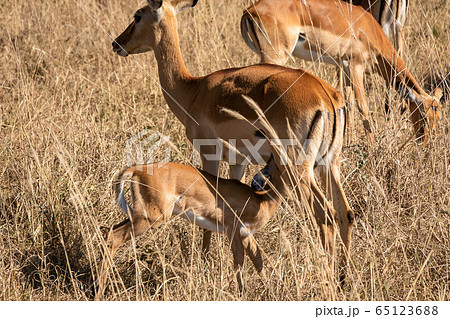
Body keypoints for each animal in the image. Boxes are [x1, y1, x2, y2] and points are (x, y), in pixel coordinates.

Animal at [241, 0, 442, 144]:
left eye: (438, 115)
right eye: (423, 115)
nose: (424, 143)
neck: (368, 30)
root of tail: (250, 10)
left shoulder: (343, 68)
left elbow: (347, 101)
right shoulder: (355, 66)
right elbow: (363, 107)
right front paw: (372, 147)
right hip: (275, 56)